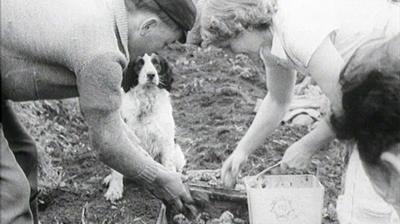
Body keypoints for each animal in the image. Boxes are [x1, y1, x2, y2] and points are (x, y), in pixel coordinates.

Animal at [102, 53, 185, 202]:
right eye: (139, 64)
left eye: (156, 63)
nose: (151, 75)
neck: (146, 102)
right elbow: (117, 171)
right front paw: (114, 190)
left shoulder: (166, 140)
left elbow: (169, 165)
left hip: (177, 151)